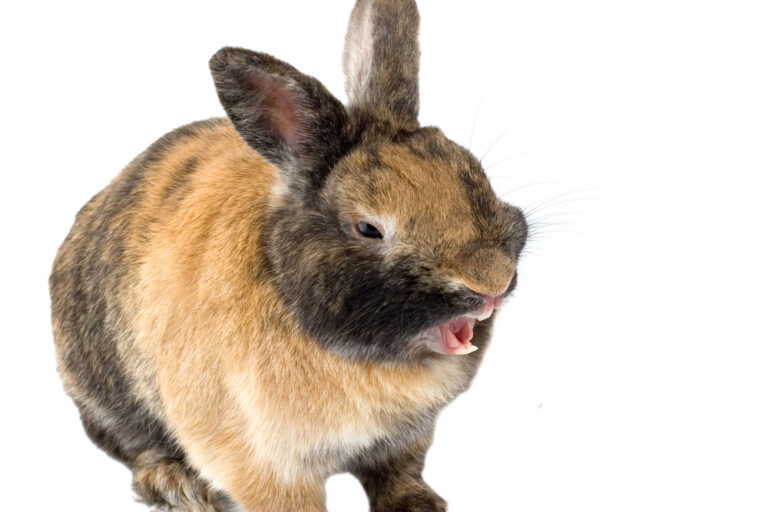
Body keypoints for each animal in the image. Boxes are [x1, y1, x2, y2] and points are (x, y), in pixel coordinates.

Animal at [49, 0, 528, 510]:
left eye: (471, 171)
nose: (493, 283)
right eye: (368, 228)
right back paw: (177, 485)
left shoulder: (404, 440)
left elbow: (398, 472)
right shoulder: (260, 459)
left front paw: (418, 505)